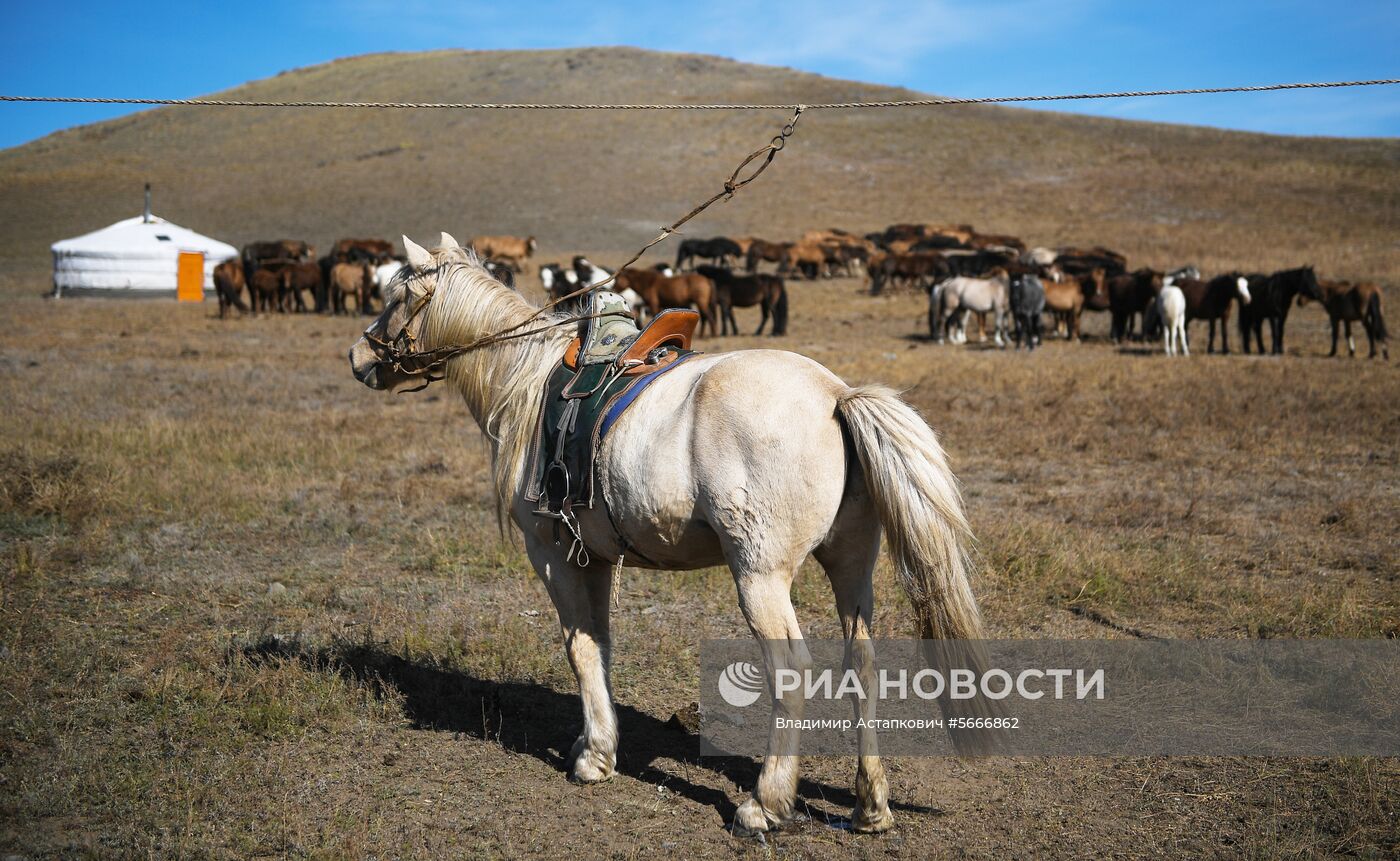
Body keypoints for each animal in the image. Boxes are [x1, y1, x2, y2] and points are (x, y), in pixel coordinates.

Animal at [350, 232, 985, 840]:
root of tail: (835, 396)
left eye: (395, 294)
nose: (358, 355)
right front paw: (597, 742)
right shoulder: (594, 558)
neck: (525, 379)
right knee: (864, 663)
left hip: (760, 575)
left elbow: (579, 647)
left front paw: (594, 759)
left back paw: (764, 805)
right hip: (850, 564)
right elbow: (599, 643)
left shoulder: (555, 556)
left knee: (791, 671)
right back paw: (869, 807)